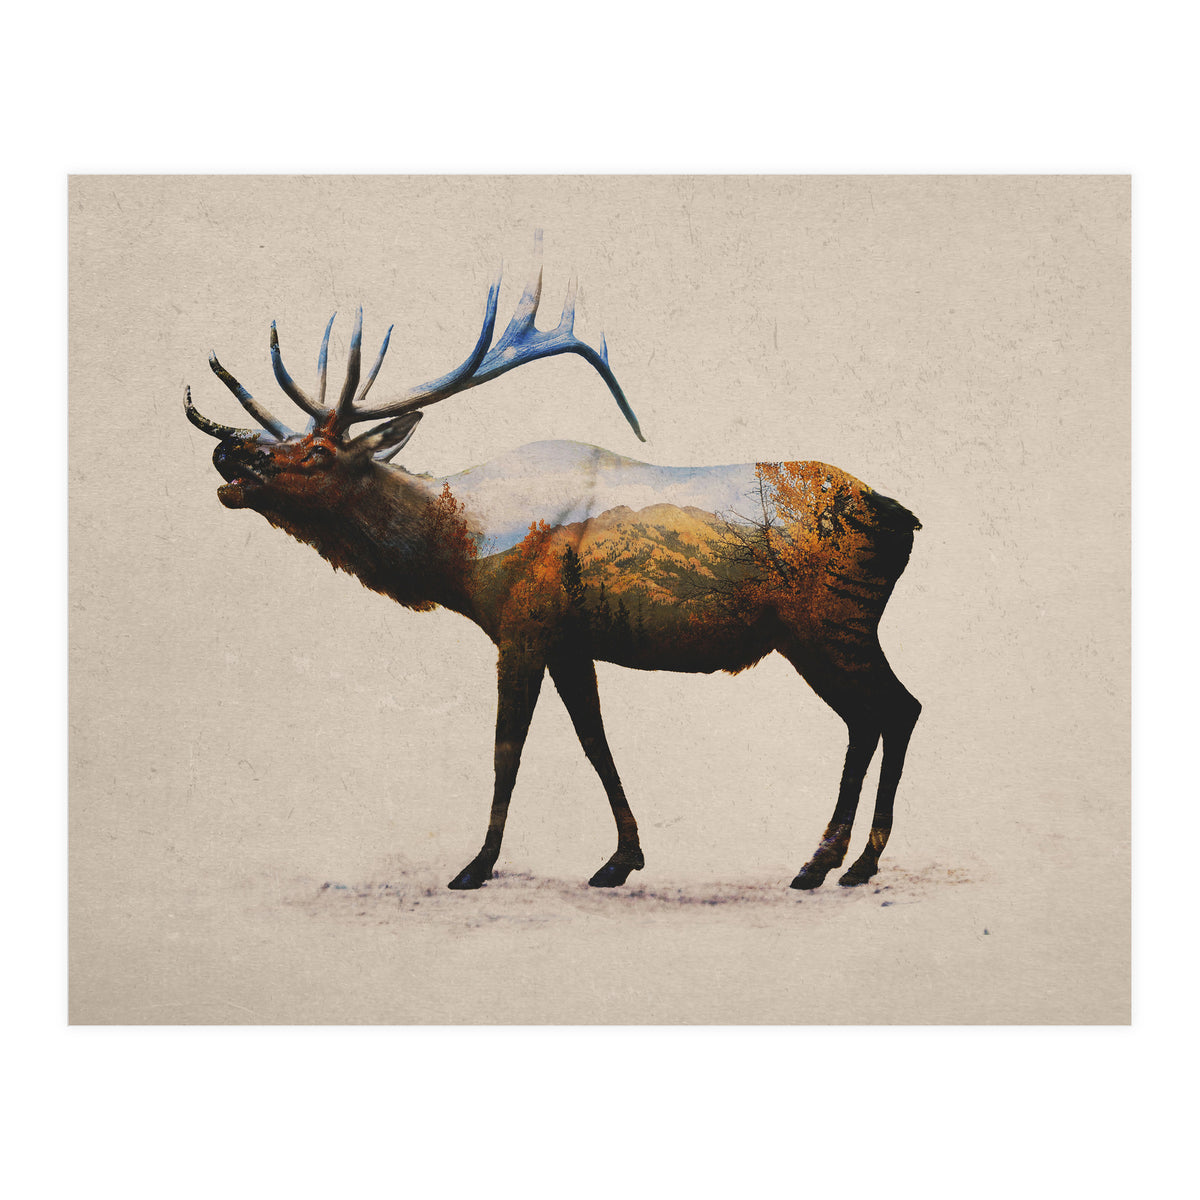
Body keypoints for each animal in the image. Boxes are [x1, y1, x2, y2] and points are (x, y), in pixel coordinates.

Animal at [184, 234, 922, 892]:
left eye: (316, 452)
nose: (229, 451)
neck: (461, 551)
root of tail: (903, 519)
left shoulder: (523, 626)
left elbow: (506, 749)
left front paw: (477, 865)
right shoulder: (571, 642)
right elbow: (596, 742)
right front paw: (621, 859)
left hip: (829, 621)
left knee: (892, 709)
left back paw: (835, 863)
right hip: (829, 630)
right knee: (880, 714)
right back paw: (842, 862)